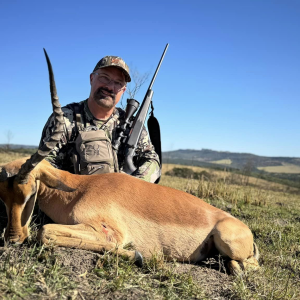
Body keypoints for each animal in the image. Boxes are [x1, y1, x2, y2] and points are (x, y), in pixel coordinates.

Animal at [0, 51, 258, 274]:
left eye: (29, 194)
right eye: (3, 197)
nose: (12, 239)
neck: (78, 190)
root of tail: (240, 226)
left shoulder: (109, 231)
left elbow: (45, 232)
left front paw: (139, 256)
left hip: (228, 241)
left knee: (248, 266)